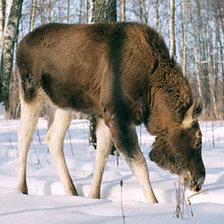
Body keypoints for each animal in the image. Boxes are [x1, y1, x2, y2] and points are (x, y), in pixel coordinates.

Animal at [16, 22, 205, 203]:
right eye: (197, 143)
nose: (198, 182)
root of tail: (20, 44)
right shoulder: (119, 117)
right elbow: (140, 164)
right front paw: (154, 203)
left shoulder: (105, 115)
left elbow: (102, 153)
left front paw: (94, 196)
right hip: (31, 90)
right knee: (25, 135)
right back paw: (21, 188)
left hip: (62, 105)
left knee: (52, 138)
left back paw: (71, 190)